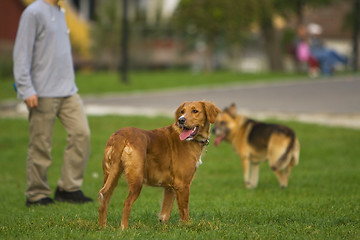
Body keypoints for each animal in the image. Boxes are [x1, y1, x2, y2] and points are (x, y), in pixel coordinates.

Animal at [98, 100, 219, 230]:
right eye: (182, 111)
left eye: (195, 111)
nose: (181, 120)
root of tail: (121, 135)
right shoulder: (183, 184)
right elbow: (184, 211)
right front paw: (187, 226)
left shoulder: (170, 188)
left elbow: (164, 214)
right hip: (136, 180)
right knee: (127, 203)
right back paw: (124, 229)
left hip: (110, 176)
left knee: (103, 201)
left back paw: (102, 228)